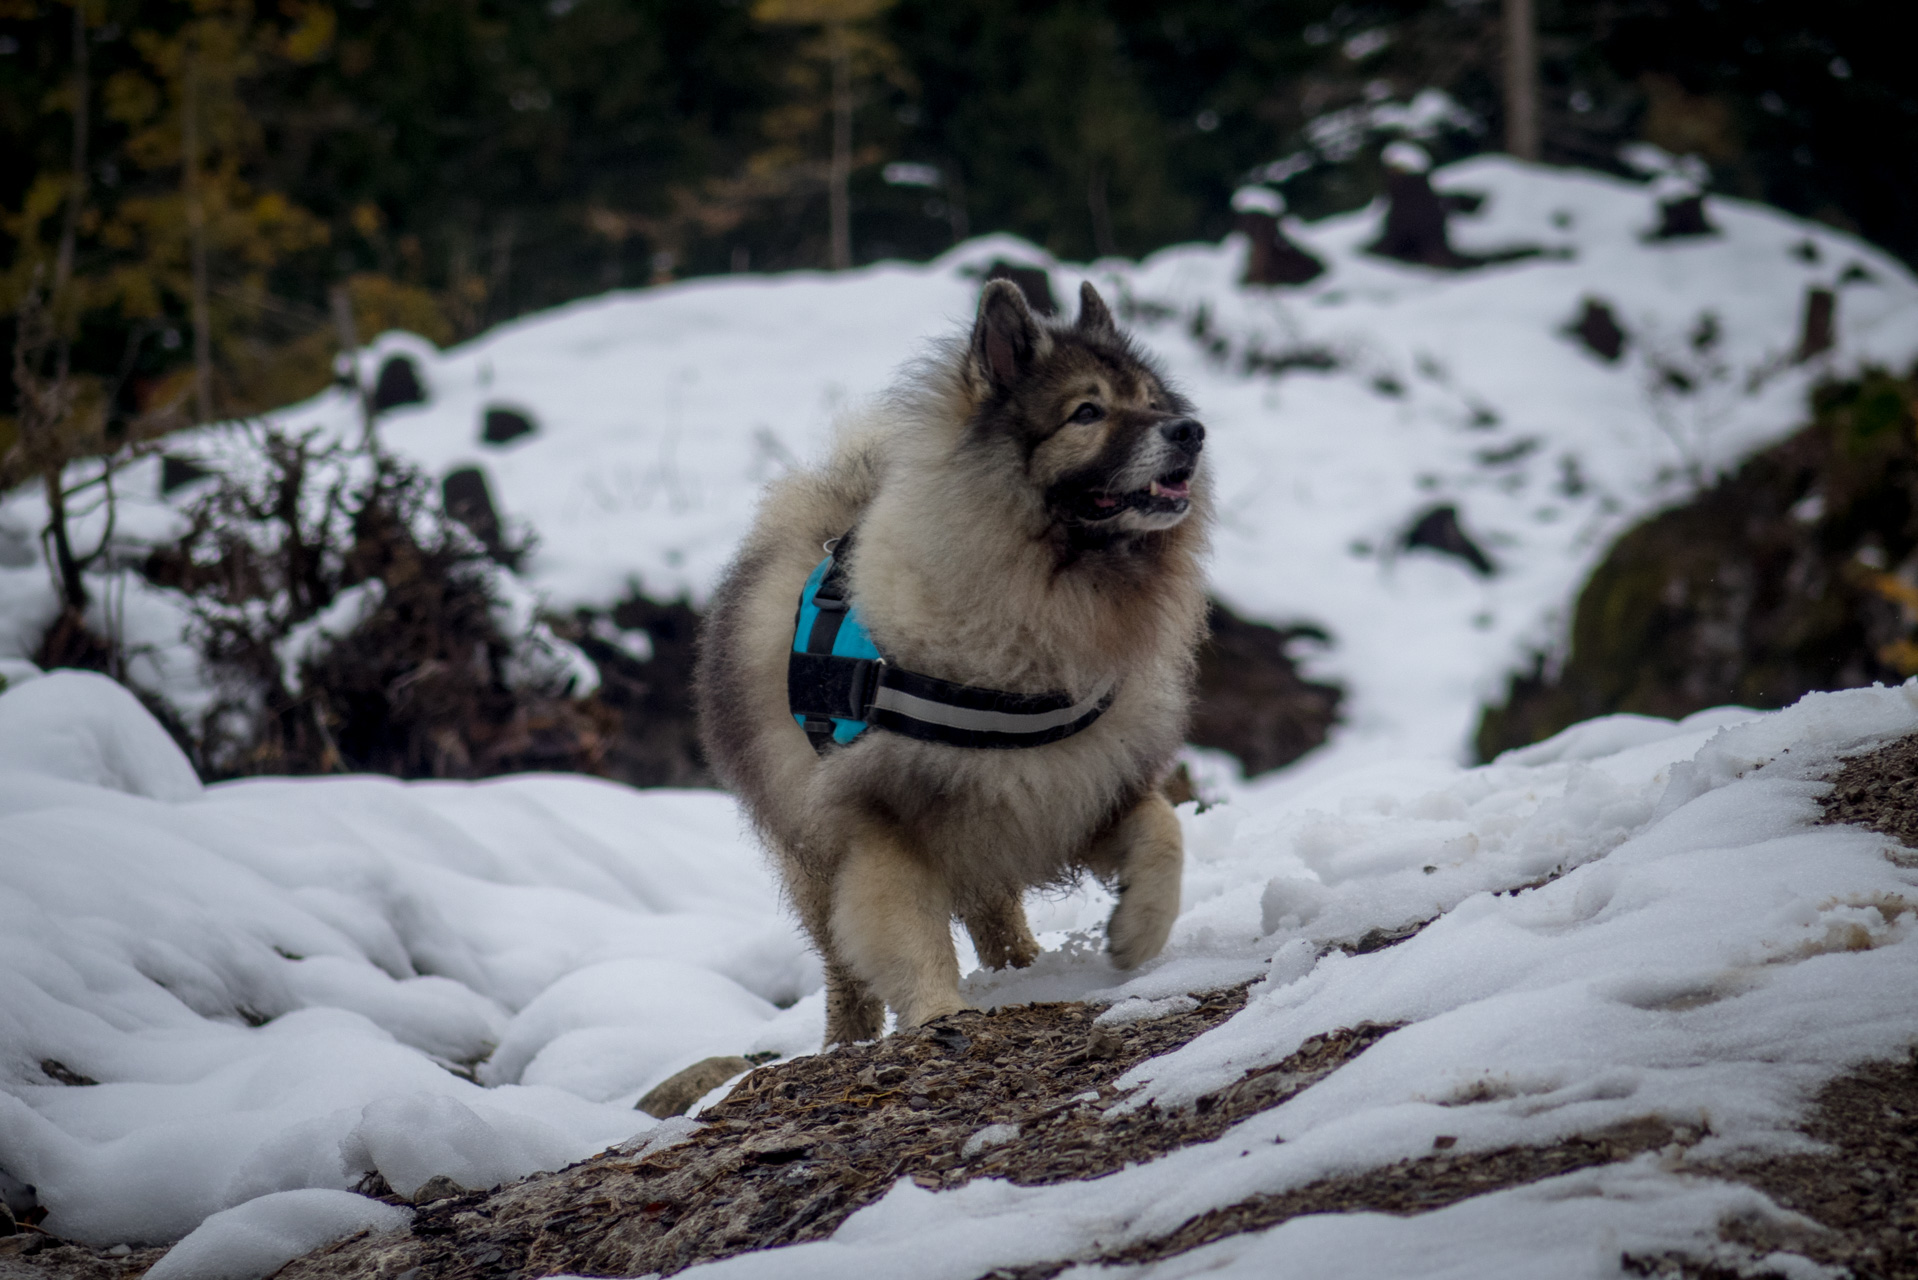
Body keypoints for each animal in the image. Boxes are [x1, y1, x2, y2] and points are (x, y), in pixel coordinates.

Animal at [701, 276, 1212, 1043]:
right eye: (1087, 412)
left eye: (1153, 402)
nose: (1189, 430)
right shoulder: (888, 819)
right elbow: (905, 932)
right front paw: (940, 1012)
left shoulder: (1074, 788)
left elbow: (1165, 831)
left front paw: (1137, 932)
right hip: (813, 851)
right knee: (843, 965)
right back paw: (850, 1037)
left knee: (993, 914)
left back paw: (1025, 969)